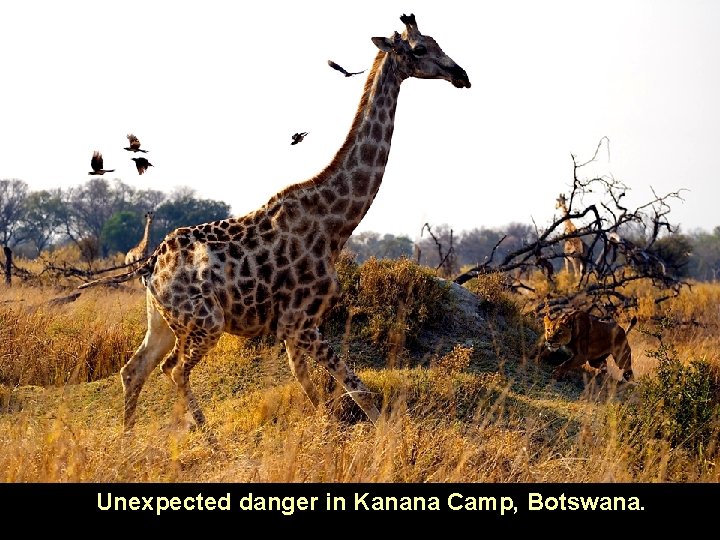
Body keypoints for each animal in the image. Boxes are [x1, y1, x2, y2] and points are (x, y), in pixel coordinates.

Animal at [80, 13, 472, 430]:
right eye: (420, 49)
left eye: (437, 42)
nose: (461, 74)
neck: (336, 223)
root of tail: (152, 266)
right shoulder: (299, 321)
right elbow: (356, 388)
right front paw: (382, 437)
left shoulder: (295, 325)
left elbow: (313, 388)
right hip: (205, 321)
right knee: (173, 369)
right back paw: (206, 435)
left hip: (162, 321)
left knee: (133, 369)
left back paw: (128, 436)